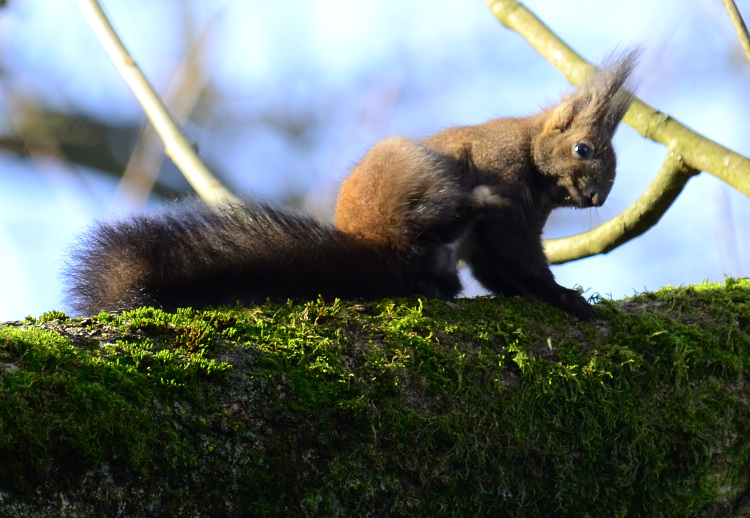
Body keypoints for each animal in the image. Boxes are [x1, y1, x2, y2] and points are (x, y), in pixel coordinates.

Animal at [66, 51, 640, 320]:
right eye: (583, 149)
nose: (597, 198)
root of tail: (375, 249)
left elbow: (498, 269)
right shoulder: (505, 182)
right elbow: (513, 257)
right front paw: (565, 296)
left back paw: (443, 285)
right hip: (412, 176)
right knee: (435, 218)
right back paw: (467, 207)